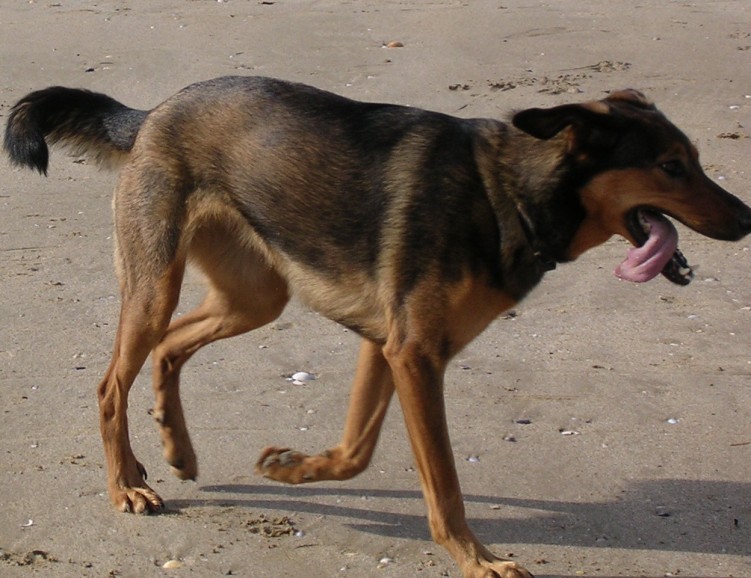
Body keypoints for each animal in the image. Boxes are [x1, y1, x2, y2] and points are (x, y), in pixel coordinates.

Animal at [5, 75, 751, 576]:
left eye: (695, 160)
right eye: (670, 167)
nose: (746, 219)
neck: (509, 191)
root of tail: (155, 111)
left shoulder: (387, 346)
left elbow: (356, 452)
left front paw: (294, 469)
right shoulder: (414, 354)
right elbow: (443, 483)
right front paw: (476, 558)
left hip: (256, 295)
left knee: (166, 349)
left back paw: (174, 450)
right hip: (156, 286)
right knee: (111, 383)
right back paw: (124, 484)